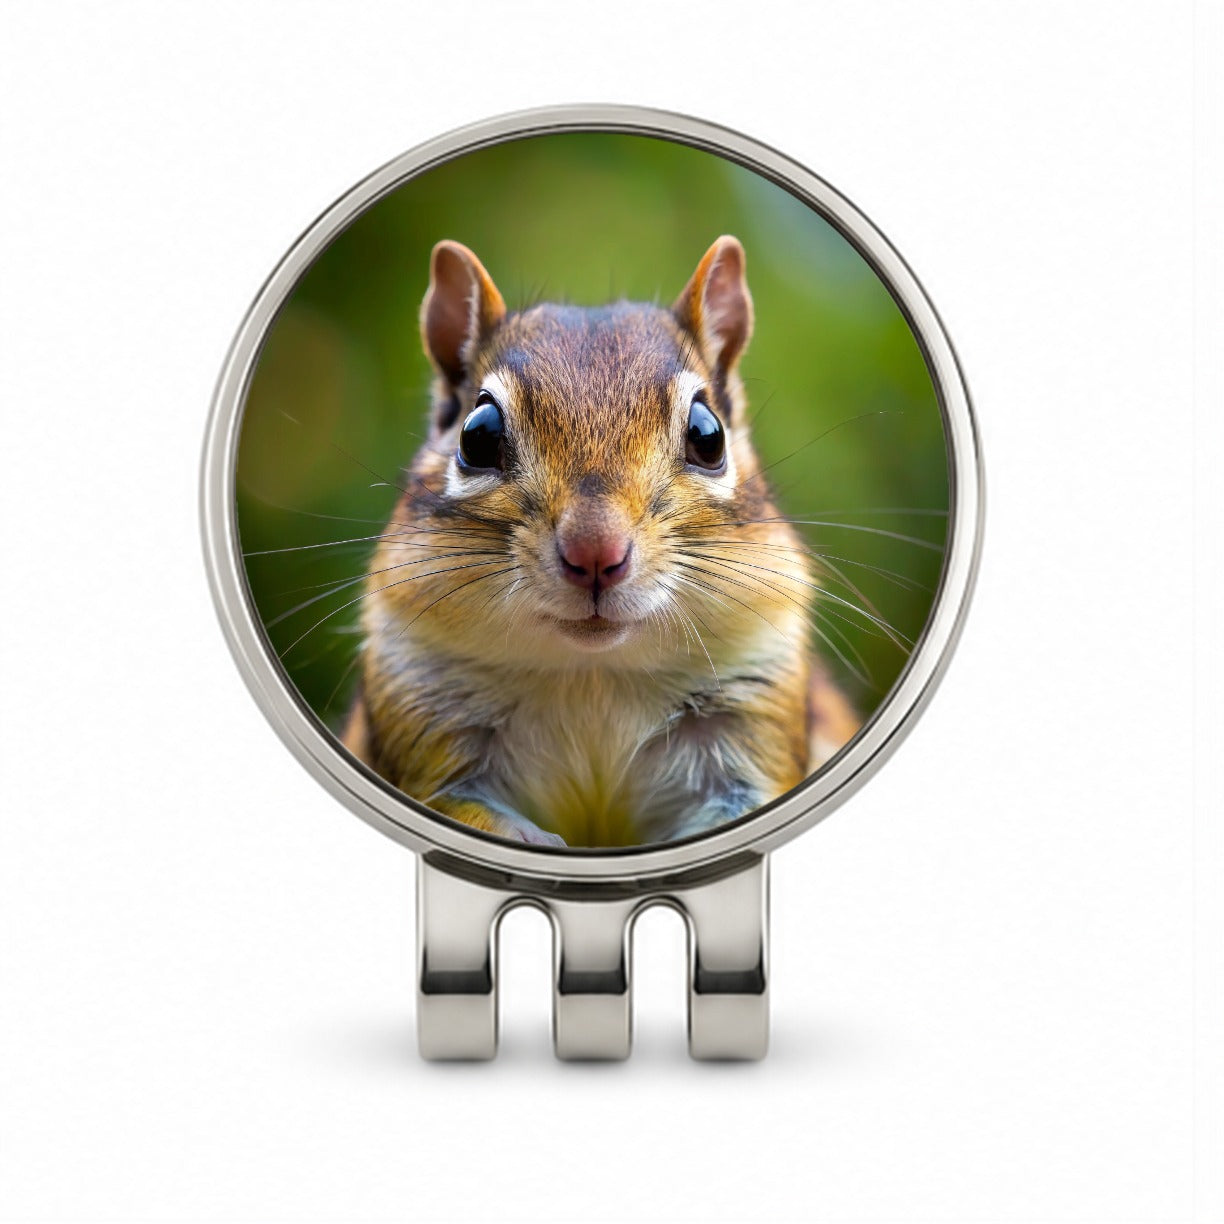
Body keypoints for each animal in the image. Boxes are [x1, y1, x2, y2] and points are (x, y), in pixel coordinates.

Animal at [341, 236, 860, 847]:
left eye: (708, 435)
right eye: (478, 436)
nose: (595, 553)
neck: (592, 675)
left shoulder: (754, 706)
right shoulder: (421, 712)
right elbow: (454, 803)